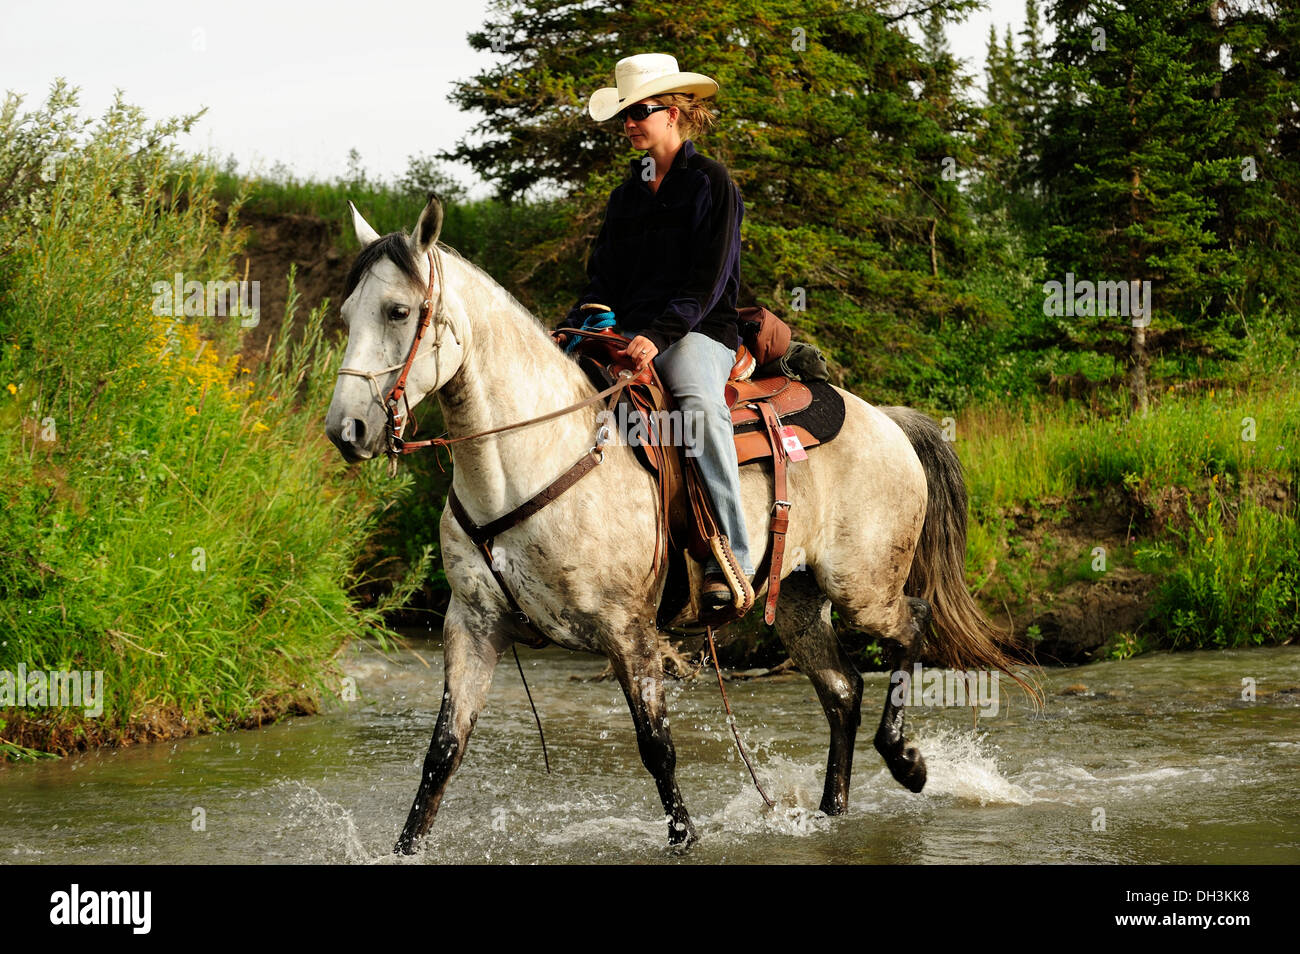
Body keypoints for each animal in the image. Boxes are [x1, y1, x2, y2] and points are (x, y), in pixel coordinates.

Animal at [325, 197, 1024, 857]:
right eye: (346, 317)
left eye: (397, 312)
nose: (346, 430)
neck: (535, 456)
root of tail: (885, 417)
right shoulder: (472, 625)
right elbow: (443, 752)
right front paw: (404, 847)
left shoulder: (628, 633)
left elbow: (656, 748)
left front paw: (685, 839)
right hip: (799, 602)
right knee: (842, 690)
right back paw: (833, 811)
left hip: (863, 589)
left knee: (912, 620)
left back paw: (906, 761)